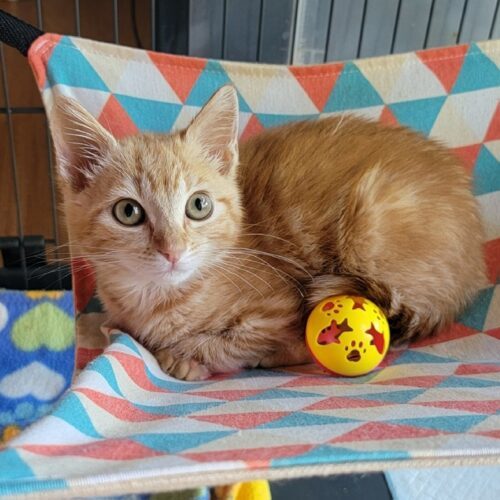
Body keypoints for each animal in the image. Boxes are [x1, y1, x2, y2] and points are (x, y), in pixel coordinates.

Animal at [51, 88, 484, 380]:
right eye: (128, 212)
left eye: (198, 206)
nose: (172, 250)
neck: (157, 299)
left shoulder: (278, 307)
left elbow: (247, 339)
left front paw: (186, 356)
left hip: (371, 221)